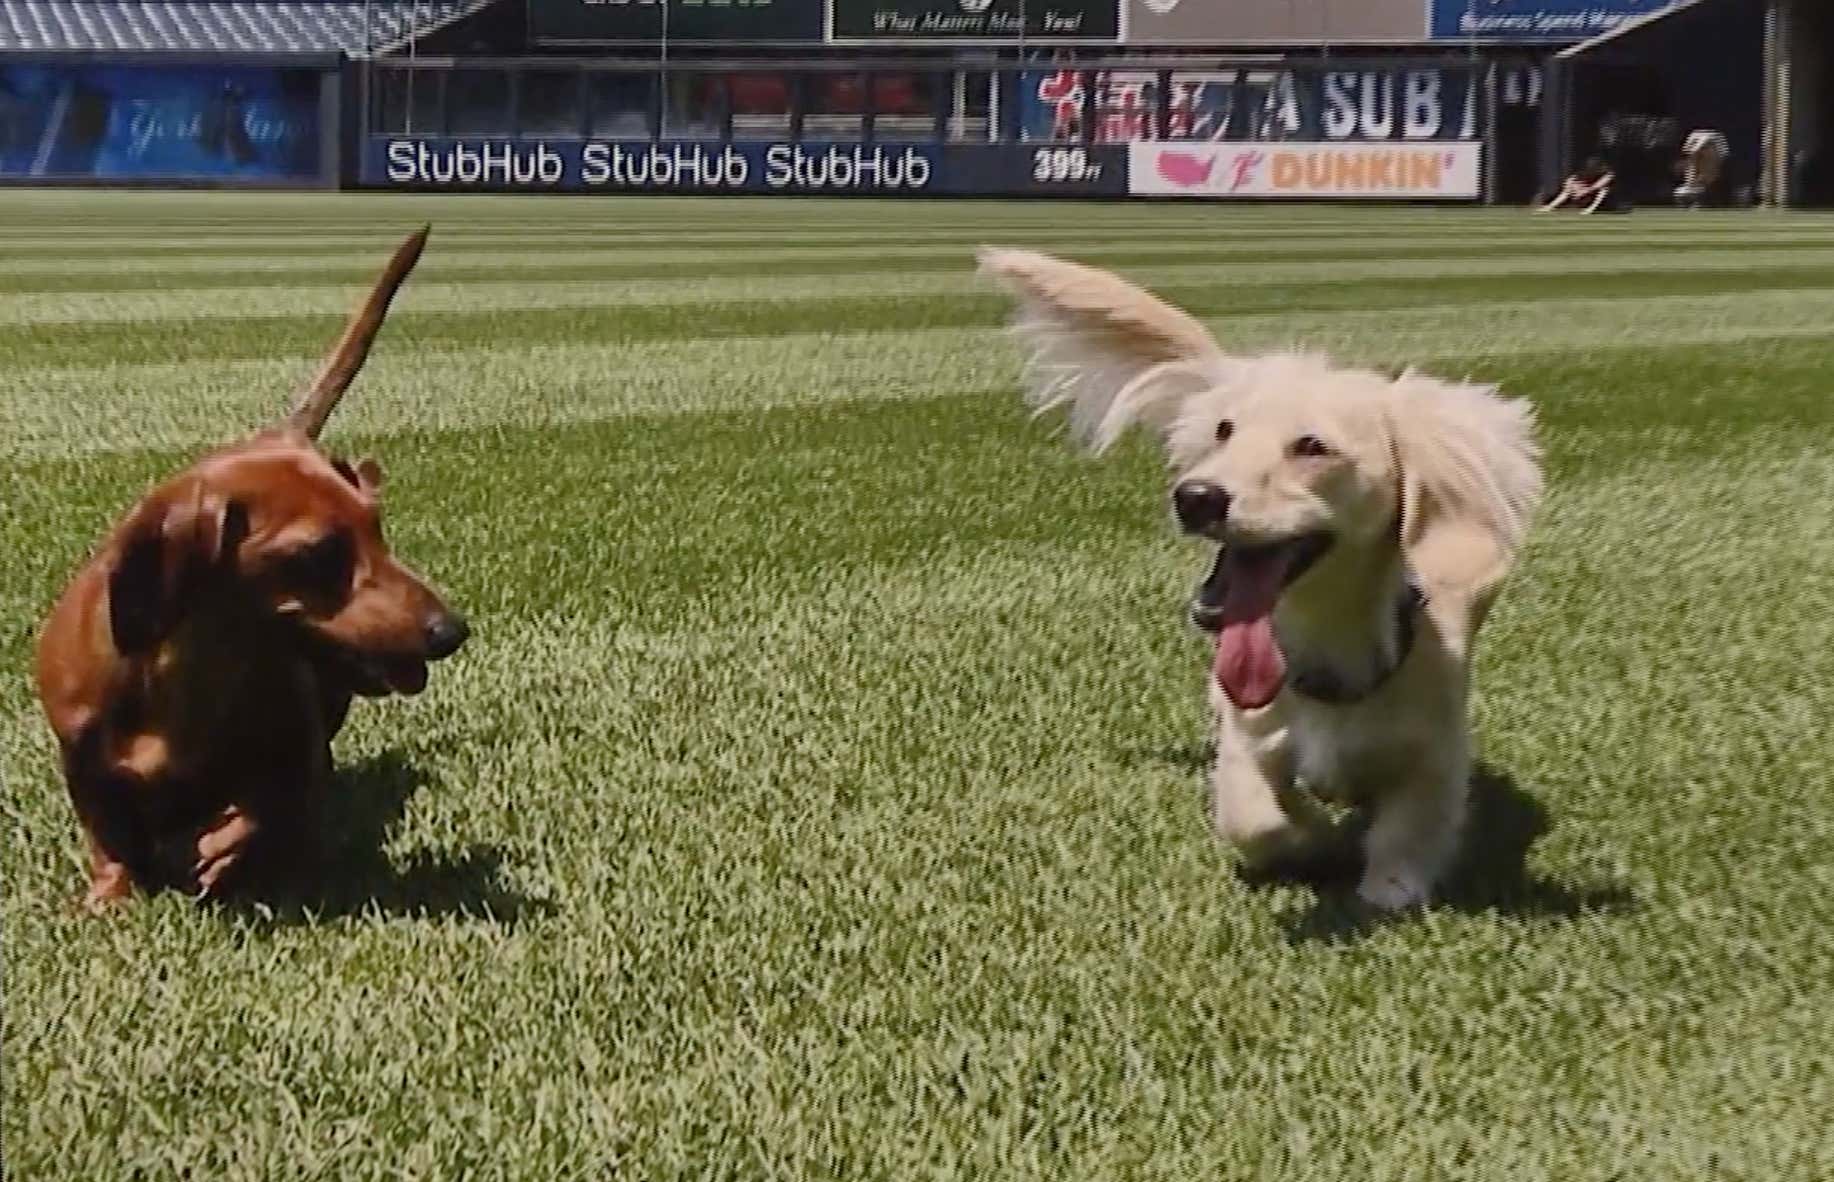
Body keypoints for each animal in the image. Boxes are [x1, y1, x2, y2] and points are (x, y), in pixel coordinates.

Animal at [983, 249, 1540, 910]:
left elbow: (1405, 839)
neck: (1329, 652)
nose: (1196, 497)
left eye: (1312, 446)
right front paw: (1314, 839)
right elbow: (1255, 818)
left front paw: (1384, 883)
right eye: (1225, 431)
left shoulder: (1434, 753)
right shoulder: (1248, 735)